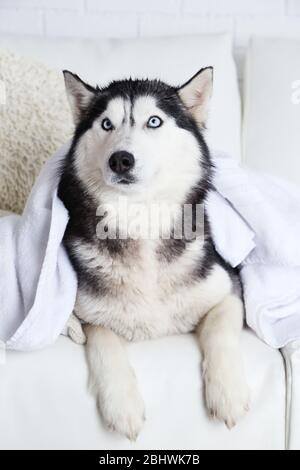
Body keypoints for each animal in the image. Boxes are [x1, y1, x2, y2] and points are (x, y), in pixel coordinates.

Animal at [58, 68, 248, 438]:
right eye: (106, 124)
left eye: (154, 121)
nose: (121, 159)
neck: (140, 217)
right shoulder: (89, 312)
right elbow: (103, 340)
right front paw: (122, 405)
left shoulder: (230, 288)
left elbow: (220, 330)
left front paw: (228, 393)